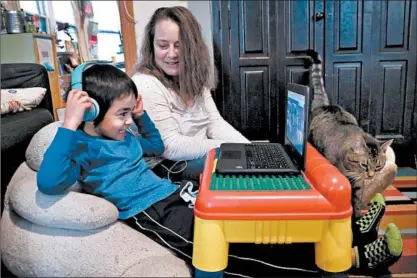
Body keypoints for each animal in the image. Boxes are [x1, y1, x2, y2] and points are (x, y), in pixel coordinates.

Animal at [300, 49, 396, 217]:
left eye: (378, 166)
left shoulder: (358, 183)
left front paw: (357, 214)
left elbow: (357, 199)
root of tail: (325, 105)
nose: (371, 175)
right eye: (364, 164)